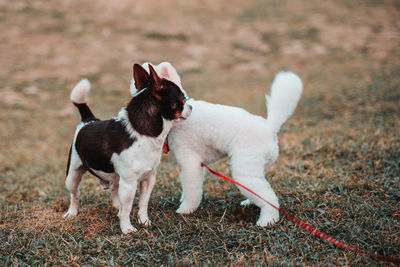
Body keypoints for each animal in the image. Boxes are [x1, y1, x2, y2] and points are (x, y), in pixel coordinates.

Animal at [64, 64, 192, 234]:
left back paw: (116, 207)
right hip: (73, 174)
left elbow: (143, 203)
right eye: (183, 99)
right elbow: (128, 207)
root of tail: (88, 120)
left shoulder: (148, 179)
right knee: (75, 194)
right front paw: (127, 228)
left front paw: (144, 221)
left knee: (113, 188)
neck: (142, 134)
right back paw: (72, 212)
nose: (191, 106)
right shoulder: (129, 185)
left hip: (116, 178)